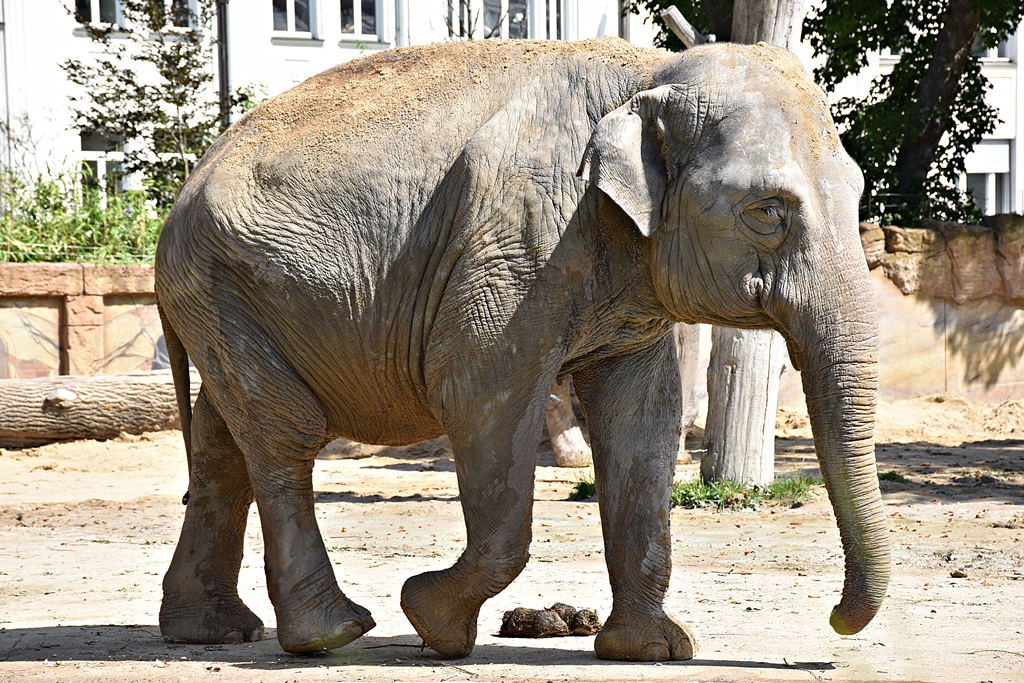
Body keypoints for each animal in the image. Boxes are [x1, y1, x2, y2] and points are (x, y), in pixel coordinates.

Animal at [155, 37, 889, 661]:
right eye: (767, 212)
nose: (833, 621)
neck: (648, 72)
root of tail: (189, 181)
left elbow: (641, 421)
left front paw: (653, 649)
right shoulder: (518, 244)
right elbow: (481, 394)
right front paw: (432, 620)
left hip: (224, 297)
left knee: (223, 440)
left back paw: (213, 633)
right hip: (216, 282)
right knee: (284, 432)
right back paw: (331, 633)